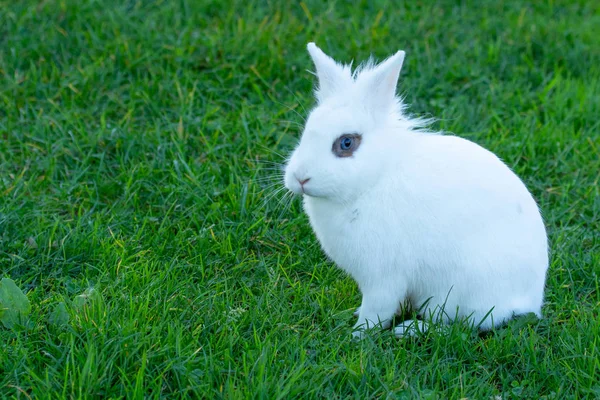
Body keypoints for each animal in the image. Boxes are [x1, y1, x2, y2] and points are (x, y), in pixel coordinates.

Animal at [282, 43, 548, 338]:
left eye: (347, 142)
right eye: (306, 131)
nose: (299, 177)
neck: (374, 179)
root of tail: (530, 300)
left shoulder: (383, 277)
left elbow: (377, 310)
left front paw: (357, 335)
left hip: (456, 293)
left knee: (455, 327)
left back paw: (408, 329)